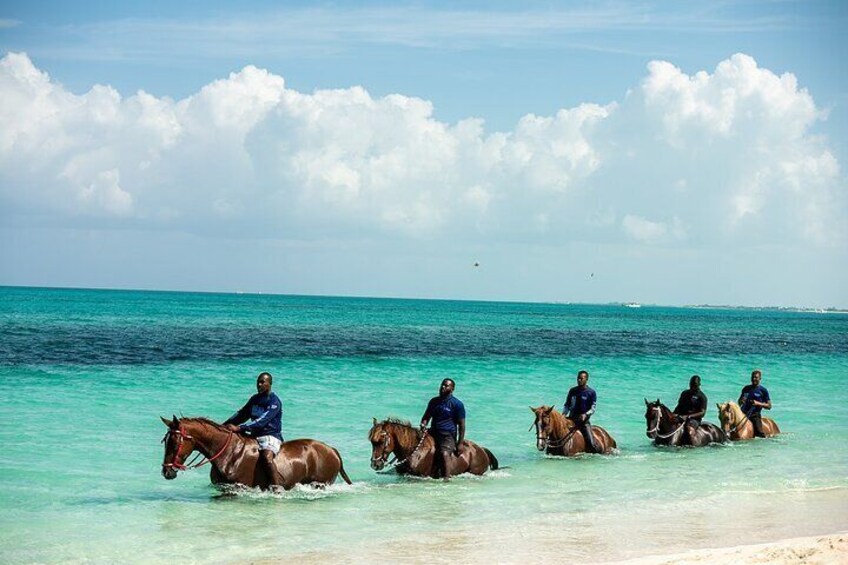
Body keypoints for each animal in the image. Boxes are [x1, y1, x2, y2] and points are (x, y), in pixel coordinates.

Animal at [162, 414, 352, 490]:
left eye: (174, 442)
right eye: (166, 441)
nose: (166, 472)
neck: (230, 454)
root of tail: (332, 450)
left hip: (320, 483)